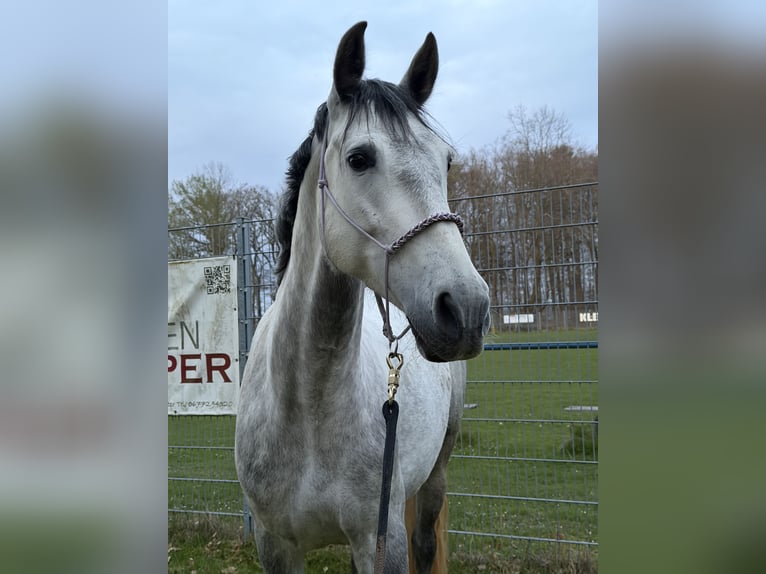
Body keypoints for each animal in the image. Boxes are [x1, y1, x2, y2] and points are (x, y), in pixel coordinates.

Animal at [235, 21, 490, 573]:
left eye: (446, 162)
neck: (308, 410)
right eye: (359, 159)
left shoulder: (381, 539)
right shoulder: (274, 544)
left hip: (435, 473)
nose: (466, 308)